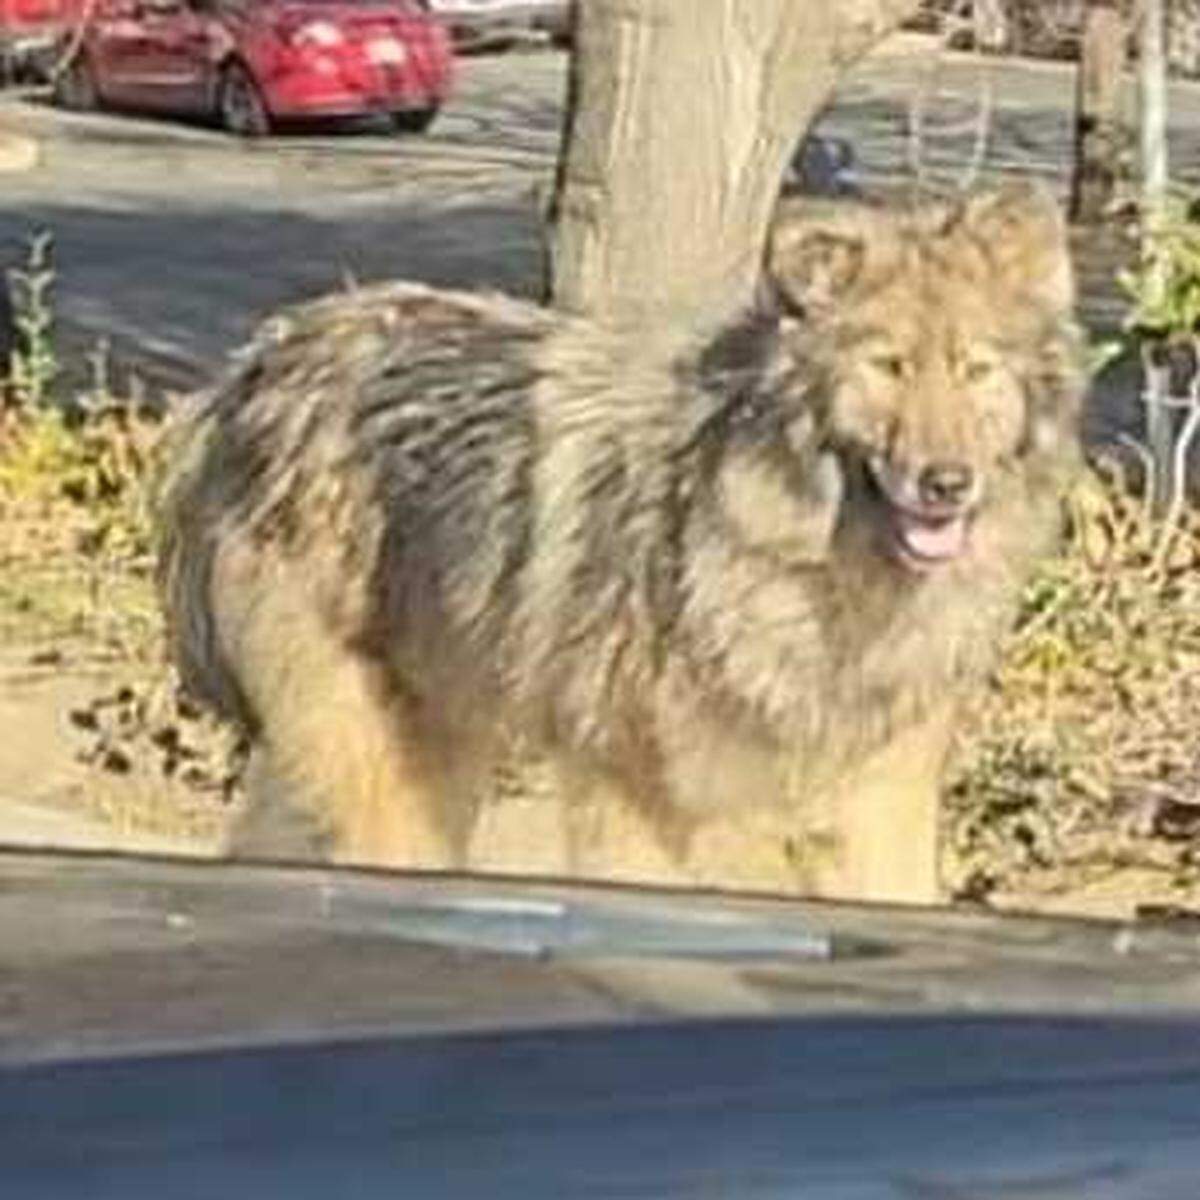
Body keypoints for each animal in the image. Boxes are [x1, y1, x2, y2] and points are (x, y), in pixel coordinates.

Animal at [158, 181, 1084, 902]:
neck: (819, 572)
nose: (946, 483)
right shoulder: (641, 797)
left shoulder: (878, 802)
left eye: (975, 370)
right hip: (387, 770)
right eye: (888, 366)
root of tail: (257, 364)